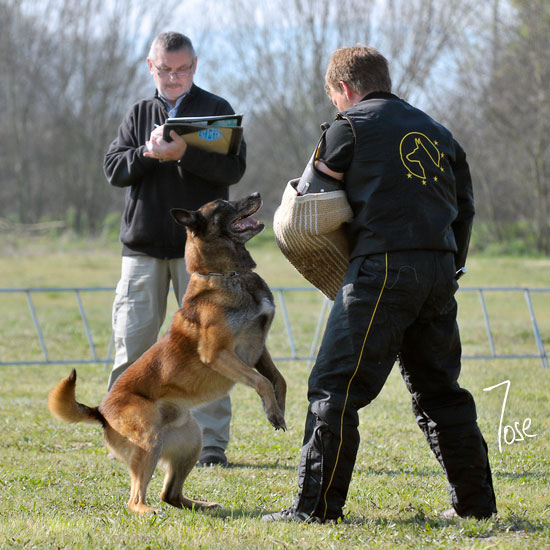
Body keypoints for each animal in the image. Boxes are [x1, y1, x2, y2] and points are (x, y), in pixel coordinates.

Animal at [48, 192, 287, 515]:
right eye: (223, 205)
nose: (256, 195)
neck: (227, 275)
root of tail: (101, 411)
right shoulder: (219, 354)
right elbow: (261, 381)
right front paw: (272, 411)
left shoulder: (259, 350)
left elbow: (277, 380)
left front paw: (279, 410)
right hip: (149, 440)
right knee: (136, 498)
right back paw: (147, 511)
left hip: (191, 440)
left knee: (170, 494)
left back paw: (202, 504)